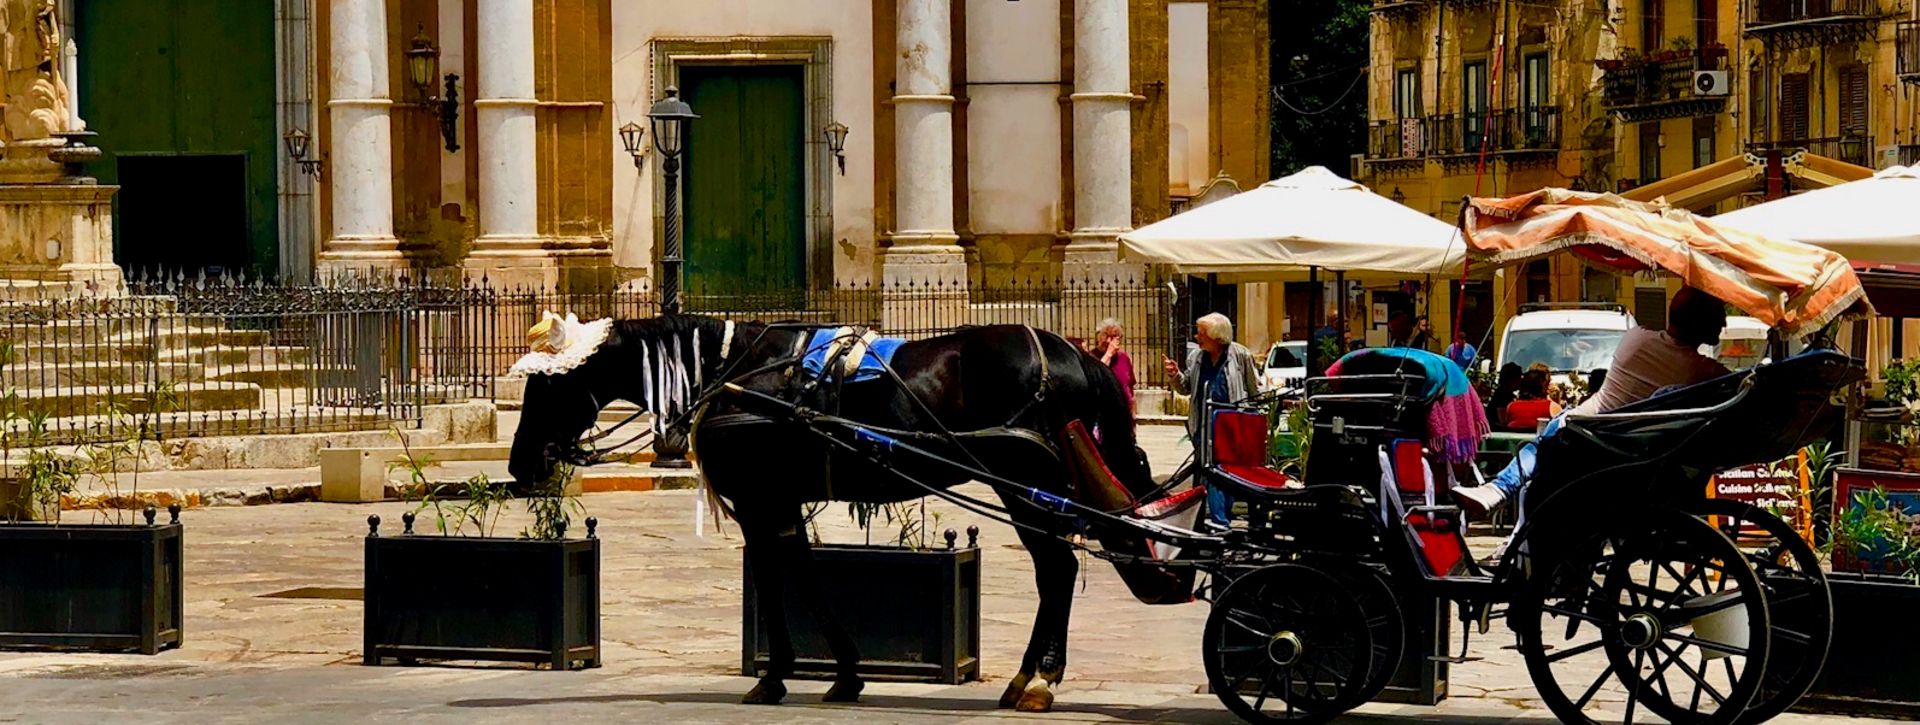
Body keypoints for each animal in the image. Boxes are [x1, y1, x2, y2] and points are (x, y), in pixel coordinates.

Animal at [510, 314, 1159, 709]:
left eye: (546, 387)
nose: (521, 466)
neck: (734, 373)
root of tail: (1076, 354)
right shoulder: (781, 502)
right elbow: (804, 575)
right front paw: (844, 672)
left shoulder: (759, 501)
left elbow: (774, 580)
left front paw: (776, 675)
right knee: (1057, 569)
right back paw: (1030, 677)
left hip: (1027, 485)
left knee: (1057, 570)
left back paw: (1040, 678)